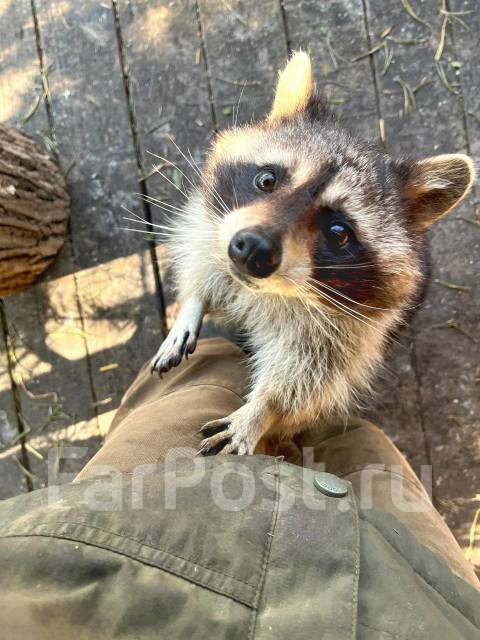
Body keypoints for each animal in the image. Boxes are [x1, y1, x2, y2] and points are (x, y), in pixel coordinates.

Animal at [151, 53, 476, 456]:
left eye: (338, 233)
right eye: (267, 180)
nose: (253, 249)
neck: (268, 293)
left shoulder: (355, 328)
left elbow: (309, 378)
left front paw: (261, 411)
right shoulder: (216, 224)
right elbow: (203, 258)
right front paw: (192, 304)